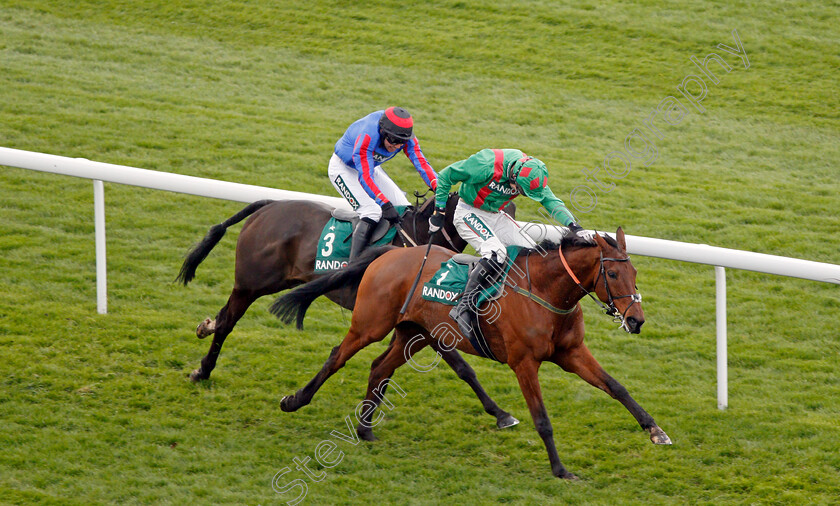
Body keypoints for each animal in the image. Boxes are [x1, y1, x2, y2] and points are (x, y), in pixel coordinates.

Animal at [272, 228, 672, 478]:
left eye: (636, 272)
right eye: (614, 275)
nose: (636, 319)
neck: (545, 292)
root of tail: (393, 252)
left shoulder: (571, 353)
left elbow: (617, 387)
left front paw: (655, 431)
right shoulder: (523, 363)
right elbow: (542, 419)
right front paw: (560, 470)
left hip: (415, 334)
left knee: (379, 367)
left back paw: (365, 430)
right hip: (371, 324)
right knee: (337, 356)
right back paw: (294, 401)